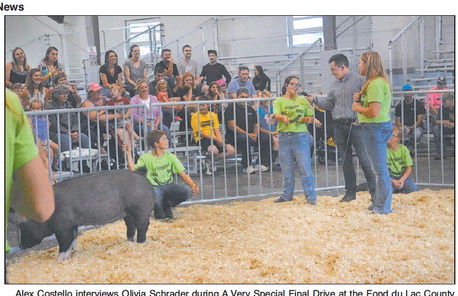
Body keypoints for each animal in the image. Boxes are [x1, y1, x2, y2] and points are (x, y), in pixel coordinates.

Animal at [17, 169, 156, 262]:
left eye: (23, 226)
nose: (21, 246)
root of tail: (143, 177)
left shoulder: (62, 227)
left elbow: (63, 242)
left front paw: (59, 260)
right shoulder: (72, 224)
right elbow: (73, 238)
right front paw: (74, 251)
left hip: (141, 209)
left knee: (143, 226)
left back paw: (140, 243)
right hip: (127, 213)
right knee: (131, 226)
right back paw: (129, 242)